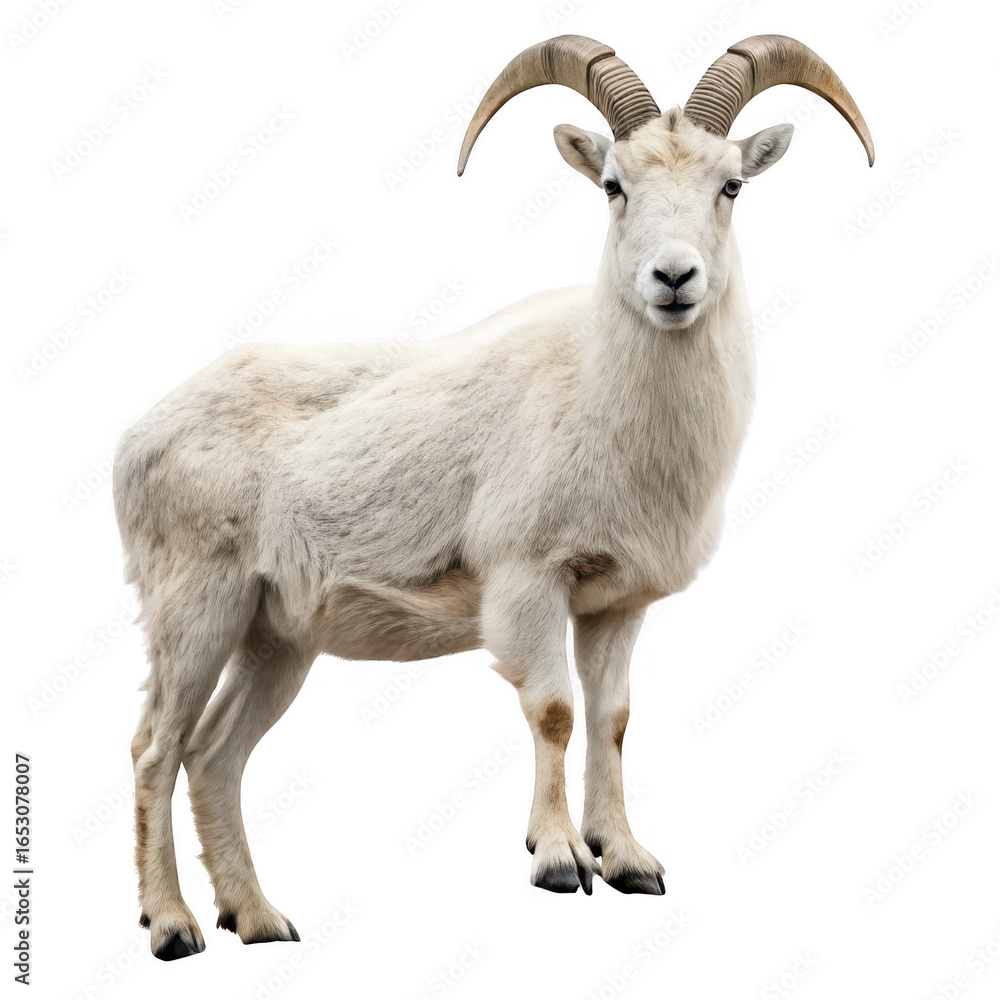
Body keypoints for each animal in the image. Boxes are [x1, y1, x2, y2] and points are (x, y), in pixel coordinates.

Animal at [114, 33, 873, 960]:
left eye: (731, 185)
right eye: (613, 184)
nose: (674, 278)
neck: (597, 390)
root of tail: (138, 437)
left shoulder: (614, 606)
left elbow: (612, 718)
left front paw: (629, 863)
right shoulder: (528, 580)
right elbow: (553, 711)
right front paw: (560, 862)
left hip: (274, 638)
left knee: (215, 754)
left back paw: (259, 921)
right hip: (196, 608)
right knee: (156, 749)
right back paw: (173, 929)